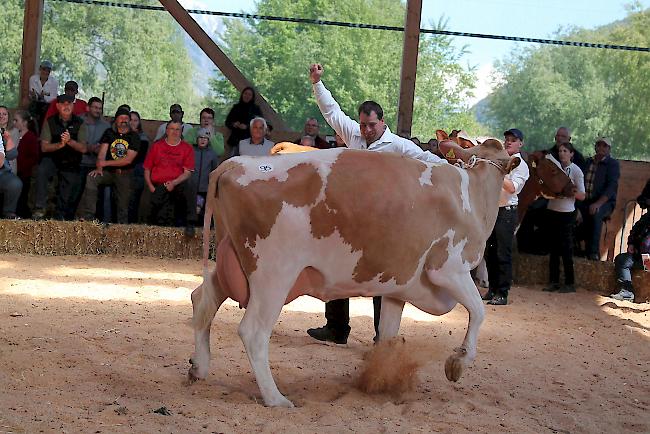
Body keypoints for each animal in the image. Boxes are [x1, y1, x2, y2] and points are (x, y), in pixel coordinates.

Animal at [186, 139, 516, 406]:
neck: (471, 193)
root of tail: (235, 163)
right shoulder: (448, 270)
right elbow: (478, 311)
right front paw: (457, 363)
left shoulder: (397, 288)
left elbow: (387, 335)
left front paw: (379, 379)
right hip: (274, 274)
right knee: (253, 331)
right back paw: (275, 398)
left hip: (232, 261)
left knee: (203, 299)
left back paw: (199, 367)